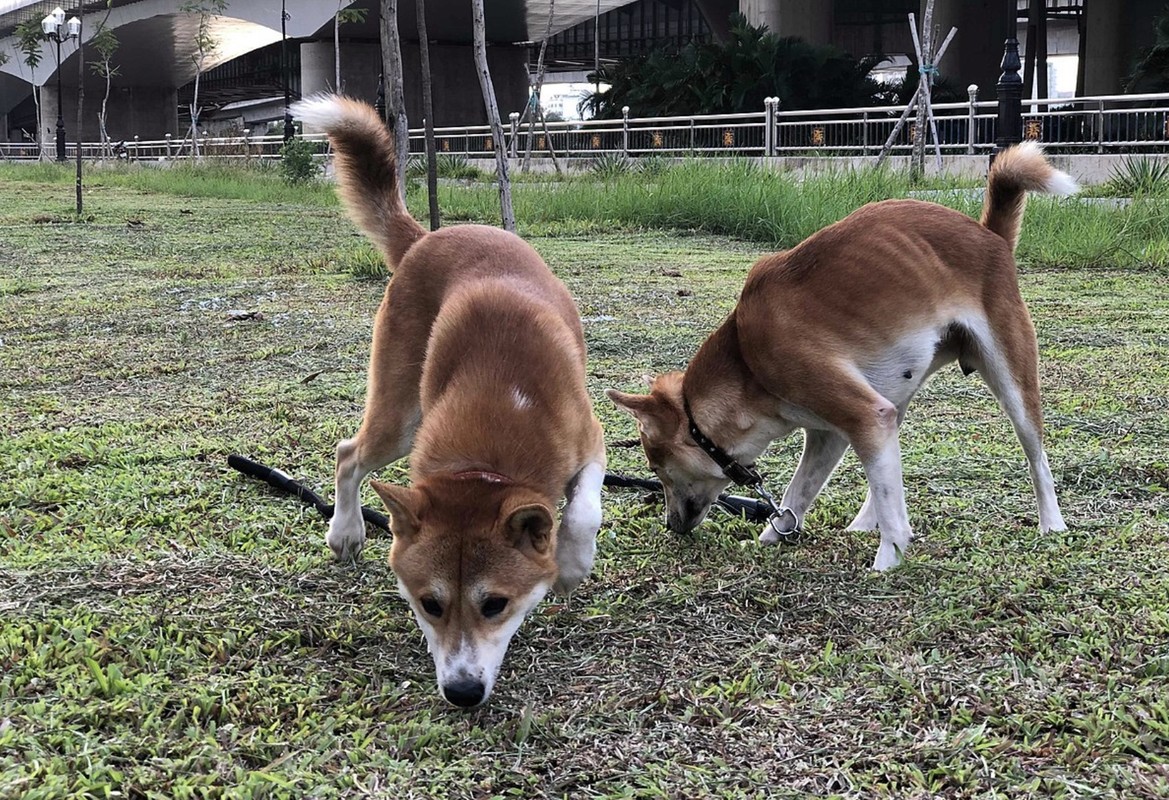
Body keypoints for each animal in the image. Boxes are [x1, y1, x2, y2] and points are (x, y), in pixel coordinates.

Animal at [292, 97, 607, 711]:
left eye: (496, 604)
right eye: (429, 604)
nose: (462, 692)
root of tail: (428, 237)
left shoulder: (592, 441)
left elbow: (583, 510)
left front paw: (570, 565)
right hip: (400, 417)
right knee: (348, 454)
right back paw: (346, 530)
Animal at [612, 143, 1075, 568]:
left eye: (656, 469)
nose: (671, 525)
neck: (747, 361)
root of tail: (989, 234)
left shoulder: (863, 415)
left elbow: (879, 506)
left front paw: (888, 560)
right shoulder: (833, 432)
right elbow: (799, 493)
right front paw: (773, 535)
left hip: (1009, 376)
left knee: (1036, 458)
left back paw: (1051, 524)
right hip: (897, 392)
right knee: (888, 471)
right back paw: (863, 522)